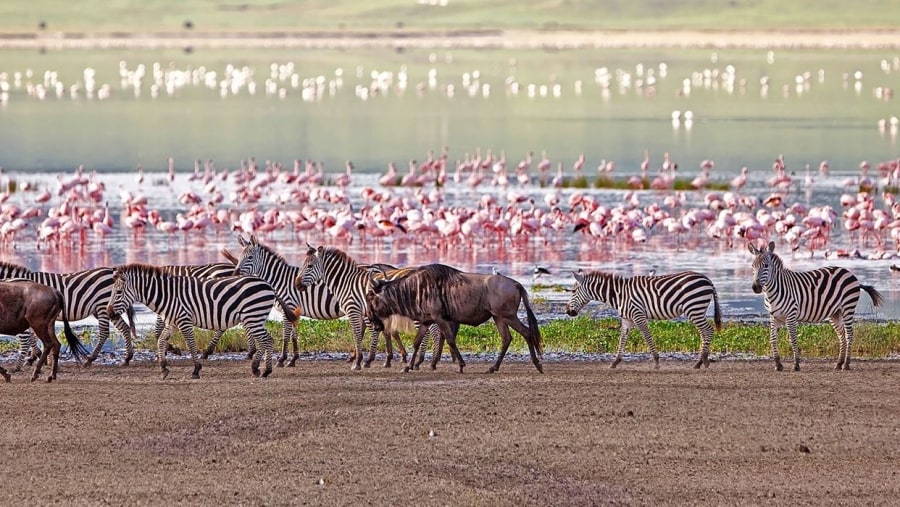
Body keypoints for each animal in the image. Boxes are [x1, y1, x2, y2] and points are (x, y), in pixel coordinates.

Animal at [0, 262, 136, 370]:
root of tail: (111, 271)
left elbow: (30, 337)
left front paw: (36, 358)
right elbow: (34, 337)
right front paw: (39, 357)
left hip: (102, 306)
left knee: (104, 333)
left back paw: (90, 359)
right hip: (106, 309)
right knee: (124, 328)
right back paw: (127, 358)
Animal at [106, 264, 290, 380]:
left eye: (119, 292)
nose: (109, 313)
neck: (167, 295)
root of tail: (268, 284)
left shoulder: (184, 321)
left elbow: (191, 344)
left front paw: (195, 369)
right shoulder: (172, 323)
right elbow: (161, 341)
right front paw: (163, 368)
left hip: (253, 316)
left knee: (267, 340)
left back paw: (264, 370)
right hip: (254, 318)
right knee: (266, 340)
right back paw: (258, 368)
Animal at [568, 270, 720, 370]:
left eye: (573, 291)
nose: (568, 312)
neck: (619, 295)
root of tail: (707, 279)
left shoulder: (638, 315)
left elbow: (647, 336)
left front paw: (656, 362)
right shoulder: (627, 319)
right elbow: (622, 339)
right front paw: (615, 362)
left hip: (694, 308)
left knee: (708, 330)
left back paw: (703, 361)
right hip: (697, 310)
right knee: (704, 332)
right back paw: (700, 362)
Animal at [744, 240, 884, 372]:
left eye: (766, 266)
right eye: (752, 266)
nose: (756, 287)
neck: (773, 292)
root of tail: (848, 272)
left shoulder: (791, 315)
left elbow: (793, 339)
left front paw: (796, 365)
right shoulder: (774, 317)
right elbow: (773, 339)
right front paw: (778, 365)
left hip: (848, 308)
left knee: (849, 335)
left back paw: (846, 364)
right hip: (835, 313)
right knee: (842, 336)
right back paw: (839, 363)